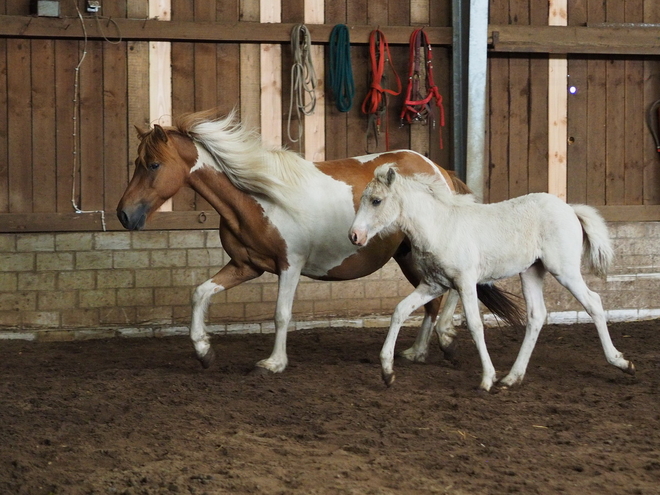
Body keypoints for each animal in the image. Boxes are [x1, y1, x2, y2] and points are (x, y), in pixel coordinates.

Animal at [117, 108, 520, 372]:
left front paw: (274, 362)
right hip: (407, 256)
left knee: (448, 293)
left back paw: (446, 338)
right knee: (432, 301)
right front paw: (204, 351)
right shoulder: (245, 266)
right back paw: (417, 352)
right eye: (136, 163)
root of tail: (439, 170)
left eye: (153, 165)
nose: (123, 215)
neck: (258, 196)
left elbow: (281, 314)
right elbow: (200, 293)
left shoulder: (290, 266)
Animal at [350, 166, 636, 392]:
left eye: (376, 200)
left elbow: (475, 325)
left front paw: (487, 379)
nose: (354, 236)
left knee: (594, 303)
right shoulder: (434, 284)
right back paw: (512, 378)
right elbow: (400, 310)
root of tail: (570, 209)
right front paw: (387, 372)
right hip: (531, 271)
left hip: (564, 270)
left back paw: (622, 362)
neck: (440, 226)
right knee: (536, 315)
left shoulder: (465, 283)